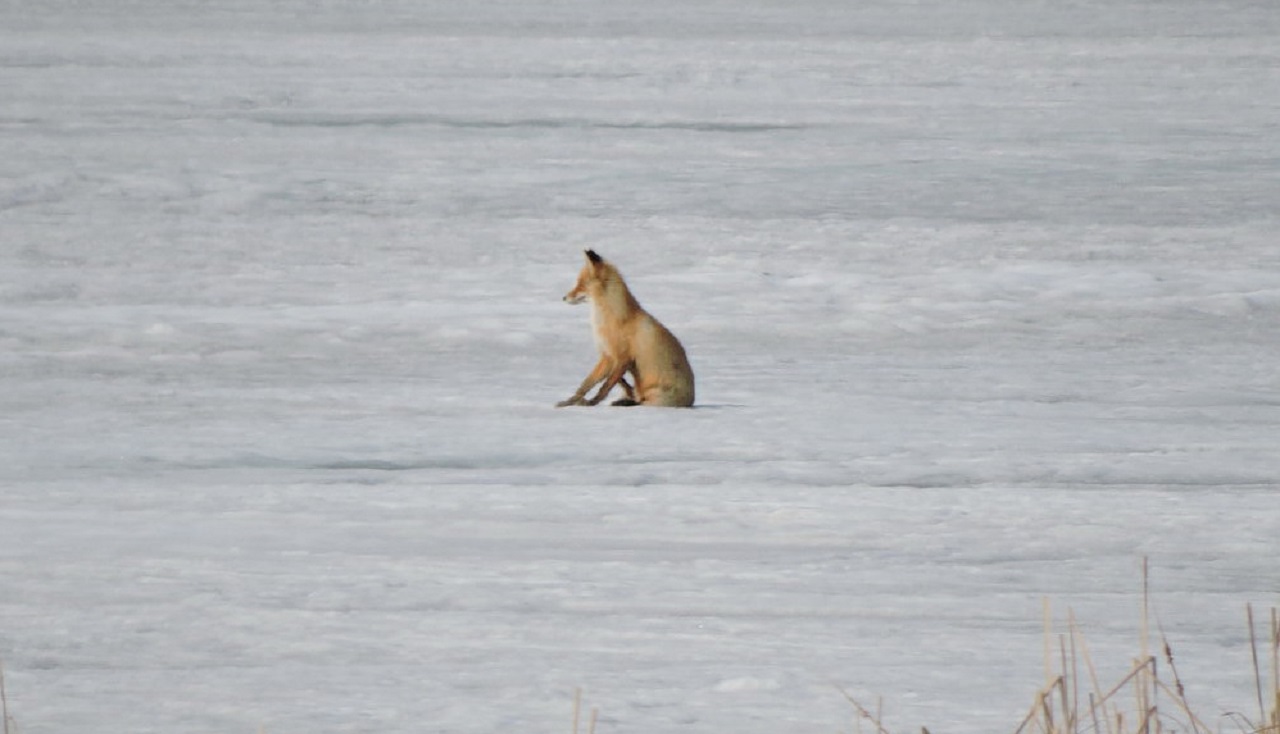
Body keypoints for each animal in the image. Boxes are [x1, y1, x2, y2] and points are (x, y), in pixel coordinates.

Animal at [555, 251, 696, 407]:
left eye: (581, 284)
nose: (564, 297)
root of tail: (690, 401)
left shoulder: (622, 358)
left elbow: (605, 386)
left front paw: (590, 403)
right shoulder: (607, 356)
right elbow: (587, 383)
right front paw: (570, 401)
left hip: (654, 396)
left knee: (640, 401)